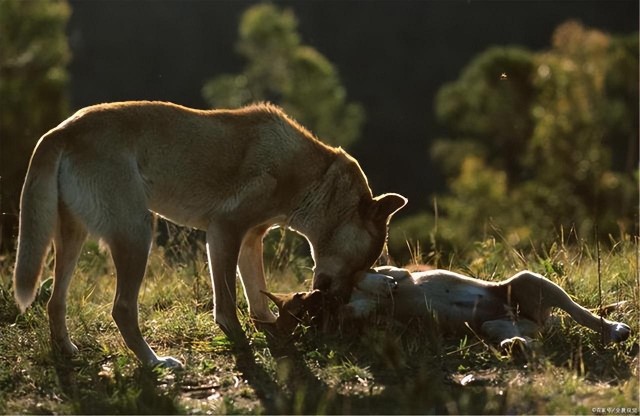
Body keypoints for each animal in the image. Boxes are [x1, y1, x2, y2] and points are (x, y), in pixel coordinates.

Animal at [12, 101, 404, 368]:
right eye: (362, 263)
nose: (334, 305)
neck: (313, 179)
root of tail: (61, 130)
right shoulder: (225, 231)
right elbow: (228, 304)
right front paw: (243, 343)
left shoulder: (251, 240)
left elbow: (257, 298)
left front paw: (271, 331)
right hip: (136, 233)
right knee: (122, 308)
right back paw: (154, 363)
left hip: (72, 237)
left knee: (55, 301)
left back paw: (67, 351)